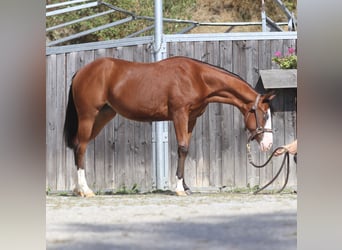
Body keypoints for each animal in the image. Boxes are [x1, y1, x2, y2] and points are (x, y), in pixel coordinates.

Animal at [64, 55, 276, 196]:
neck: (197, 77)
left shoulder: (191, 119)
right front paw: (179, 189)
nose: (269, 144)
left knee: (79, 146)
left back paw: (77, 189)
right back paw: (86, 190)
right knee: (81, 147)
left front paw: (186, 187)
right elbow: (182, 148)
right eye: (265, 115)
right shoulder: (179, 115)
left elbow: (186, 149)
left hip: (103, 115)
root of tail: (80, 72)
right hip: (88, 116)